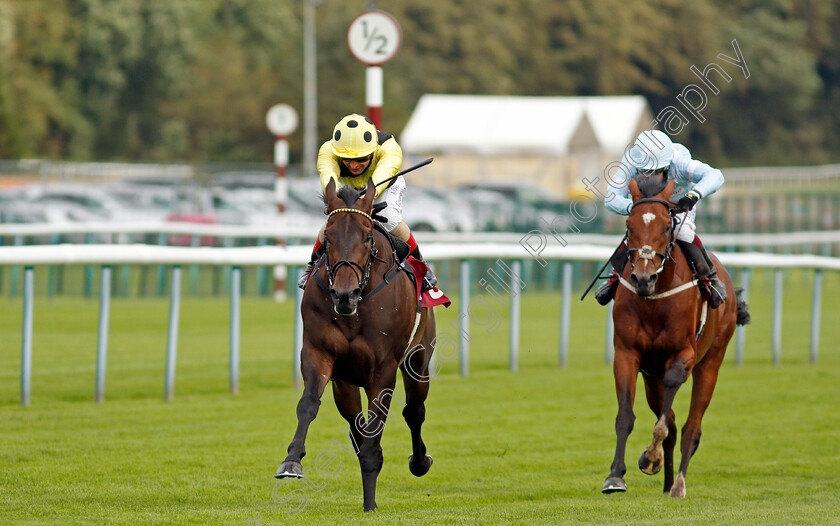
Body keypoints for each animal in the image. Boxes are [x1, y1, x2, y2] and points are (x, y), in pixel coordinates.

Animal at [276, 180, 436, 512]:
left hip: (418, 361)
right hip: (346, 382)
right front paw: (291, 461)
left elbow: (380, 424)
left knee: (414, 410)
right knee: (356, 421)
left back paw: (419, 462)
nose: (344, 294)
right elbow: (308, 404)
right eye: (328, 236)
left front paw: (370, 503)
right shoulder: (319, 353)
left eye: (366, 236)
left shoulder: (383, 368)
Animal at [600, 177, 752, 500]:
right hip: (651, 379)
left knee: (691, 428)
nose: (643, 278)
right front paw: (617, 475)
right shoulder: (627, 354)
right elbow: (626, 417)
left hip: (711, 362)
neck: (654, 299)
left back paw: (678, 483)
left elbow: (666, 422)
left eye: (666, 226)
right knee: (669, 420)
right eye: (629, 225)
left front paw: (651, 455)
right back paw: (667, 479)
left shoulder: (684, 355)